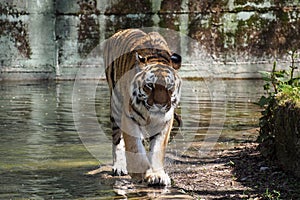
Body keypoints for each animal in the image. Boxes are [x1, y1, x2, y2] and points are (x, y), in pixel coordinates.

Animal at [103, 28, 183, 186]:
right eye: (150, 85)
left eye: (169, 86)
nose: (160, 105)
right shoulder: (129, 118)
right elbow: (135, 147)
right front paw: (142, 174)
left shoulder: (165, 122)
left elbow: (157, 148)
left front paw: (158, 175)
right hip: (116, 106)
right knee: (117, 139)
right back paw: (119, 167)